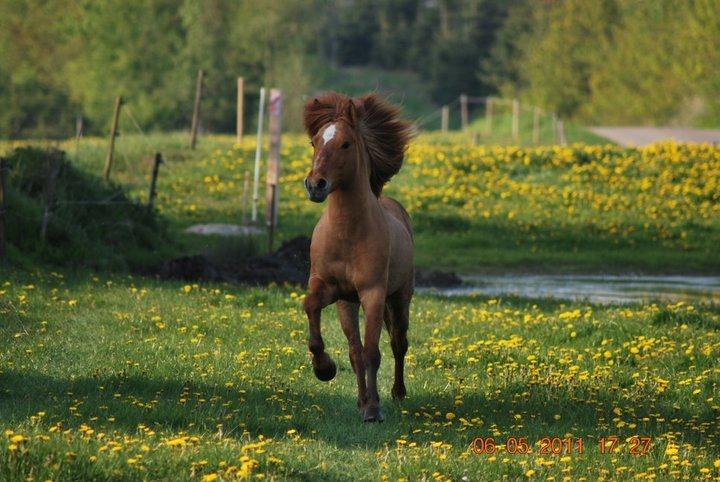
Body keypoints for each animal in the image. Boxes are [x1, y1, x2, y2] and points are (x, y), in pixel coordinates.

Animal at [300, 91, 414, 422]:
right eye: (314, 142)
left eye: (345, 144)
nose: (315, 185)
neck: (348, 234)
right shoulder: (331, 290)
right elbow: (311, 308)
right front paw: (324, 369)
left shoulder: (373, 293)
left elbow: (373, 352)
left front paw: (374, 410)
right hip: (348, 304)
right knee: (355, 351)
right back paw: (361, 399)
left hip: (400, 297)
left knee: (398, 343)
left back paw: (396, 393)